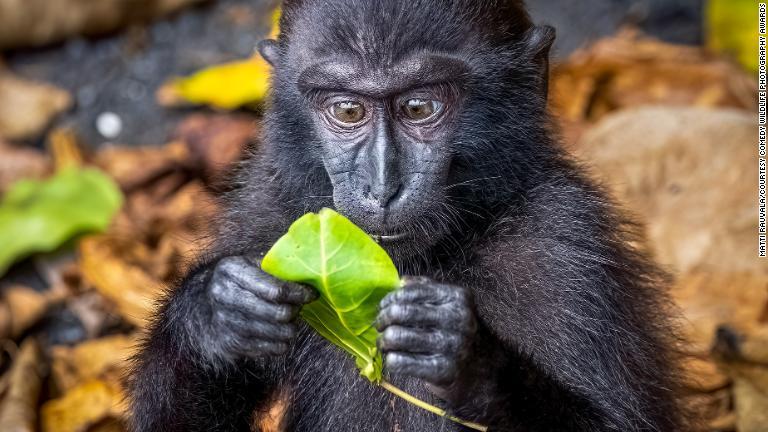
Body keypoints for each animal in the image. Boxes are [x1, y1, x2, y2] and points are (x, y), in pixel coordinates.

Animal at [129, 1, 688, 430]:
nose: (381, 187)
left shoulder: (563, 246)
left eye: (419, 108)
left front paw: (467, 361)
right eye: (348, 111)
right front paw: (215, 313)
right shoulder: (266, 216)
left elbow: (620, 421)